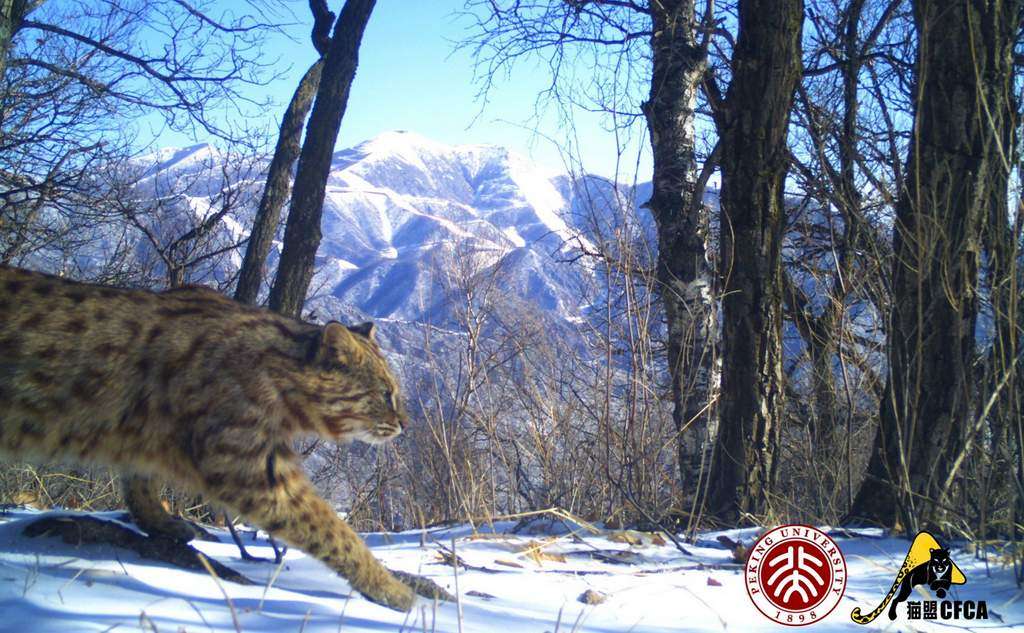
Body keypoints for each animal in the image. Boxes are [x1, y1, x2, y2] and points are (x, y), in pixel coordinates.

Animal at [0, 264, 419, 606]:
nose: (406, 424)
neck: (281, 379)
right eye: (386, 392)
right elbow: (333, 528)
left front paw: (161, 522)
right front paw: (390, 588)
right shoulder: (249, 468)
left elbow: (140, 480)